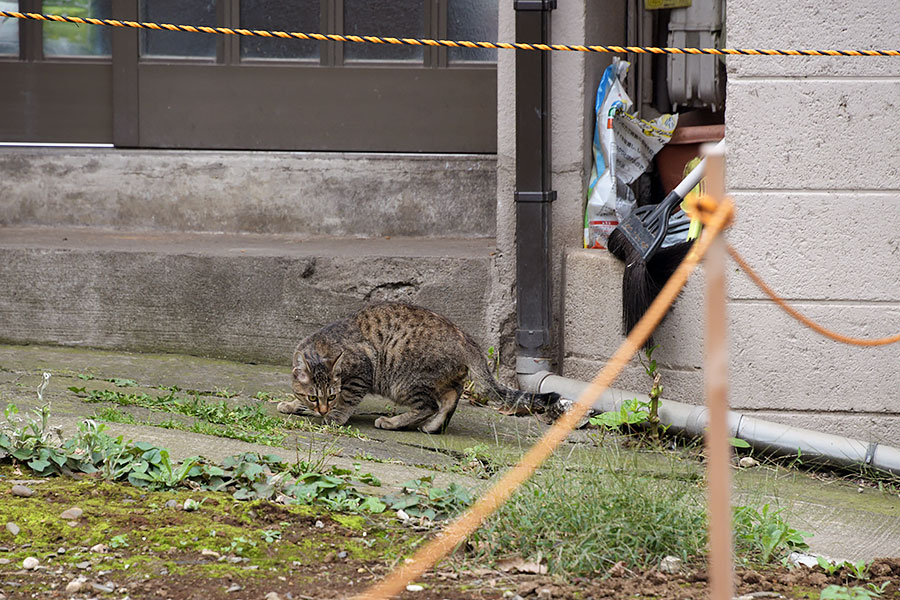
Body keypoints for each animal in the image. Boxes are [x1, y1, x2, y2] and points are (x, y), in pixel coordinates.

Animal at [278, 302, 560, 434]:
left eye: (331, 395)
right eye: (313, 397)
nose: (323, 409)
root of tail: (465, 339)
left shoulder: (360, 372)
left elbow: (348, 399)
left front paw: (334, 416)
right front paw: (293, 405)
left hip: (403, 382)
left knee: (428, 405)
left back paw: (392, 422)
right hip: (442, 379)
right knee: (450, 397)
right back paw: (432, 427)